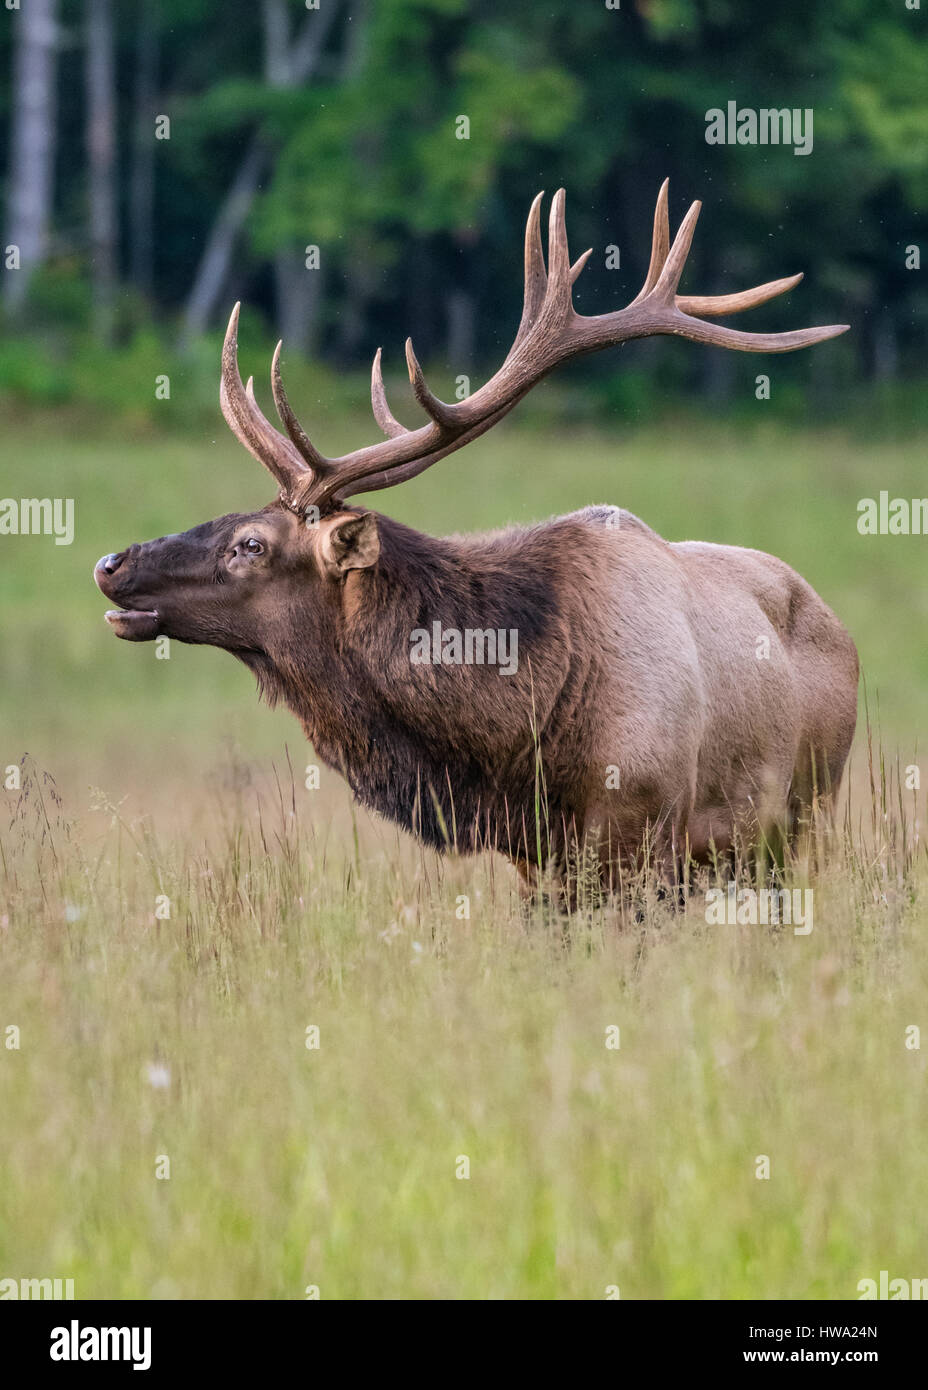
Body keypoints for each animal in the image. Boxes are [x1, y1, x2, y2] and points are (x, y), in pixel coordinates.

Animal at [94, 182, 859, 901]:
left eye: (251, 545)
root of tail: (836, 624)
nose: (111, 562)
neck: (515, 739)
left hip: (798, 821)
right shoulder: (536, 862)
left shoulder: (643, 832)